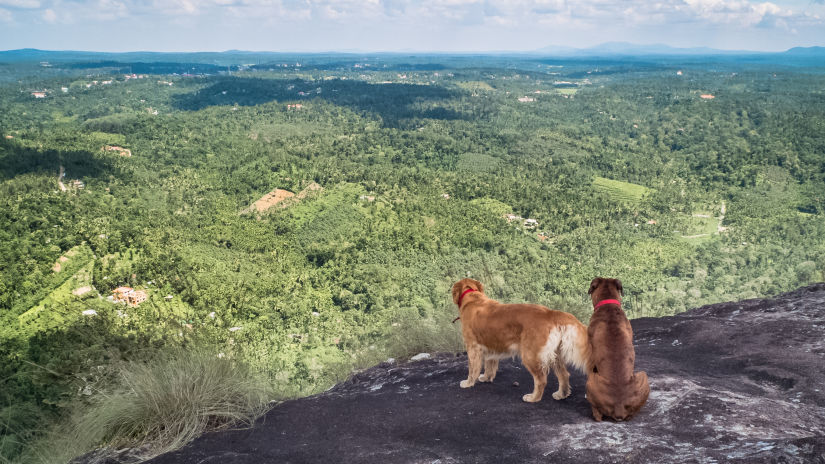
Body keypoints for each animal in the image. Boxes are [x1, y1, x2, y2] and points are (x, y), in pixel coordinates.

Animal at [450, 280, 592, 402]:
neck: (473, 299)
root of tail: (550, 313)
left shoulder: (472, 347)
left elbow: (472, 369)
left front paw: (468, 383)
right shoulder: (492, 345)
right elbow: (489, 365)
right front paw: (486, 378)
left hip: (530, 355)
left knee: (541, 380)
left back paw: (533, 397)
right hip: (555, 354)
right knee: (564, 375)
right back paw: (561, 394)